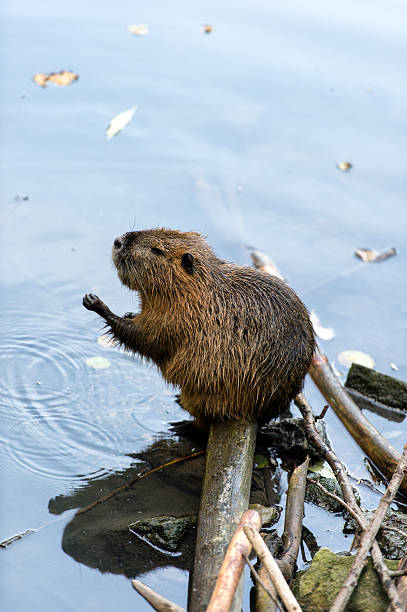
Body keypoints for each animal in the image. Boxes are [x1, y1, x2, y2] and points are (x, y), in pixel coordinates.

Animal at [83, 230, 316, 426]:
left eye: (156, 250)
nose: (118, 241)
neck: (198, 293)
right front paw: (129, 313)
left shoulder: (178, 319)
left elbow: (146, 339)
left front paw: (96, 303)